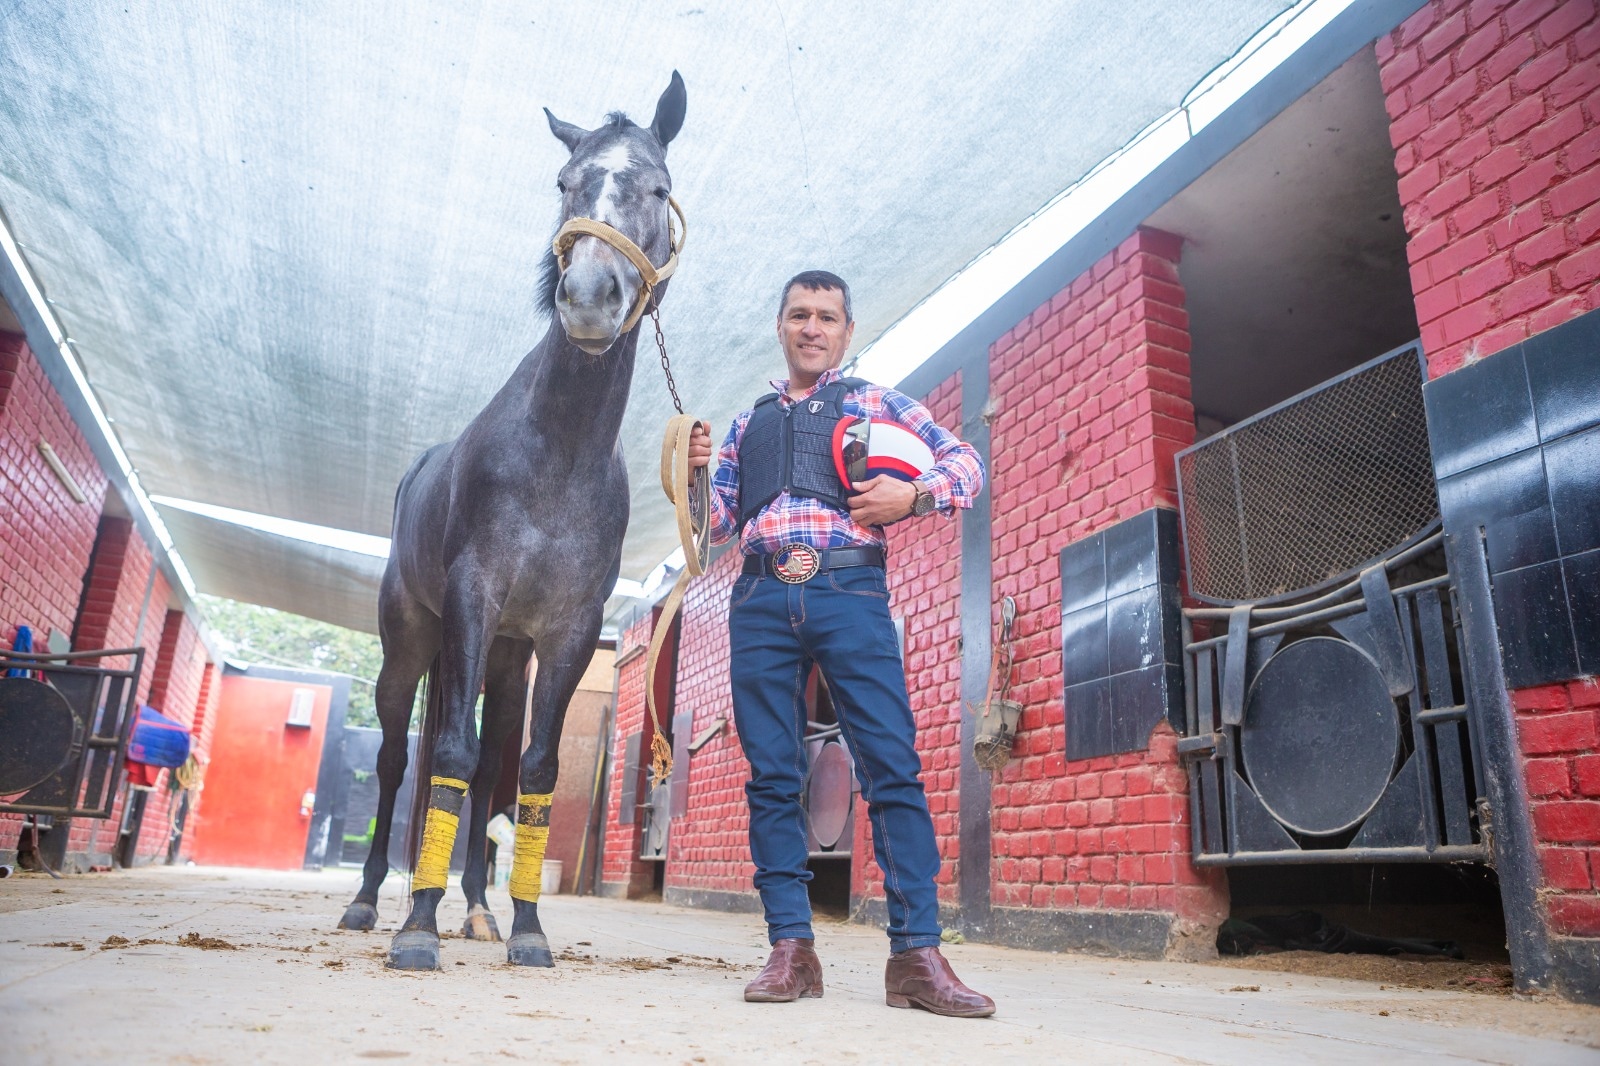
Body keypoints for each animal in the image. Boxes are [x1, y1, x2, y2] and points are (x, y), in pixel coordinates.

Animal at [336, 73, 687, 971]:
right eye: (565, 184)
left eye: (657, 189)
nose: (590, 299)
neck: (557, 455)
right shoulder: (472, 599)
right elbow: (449, 756)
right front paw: (416, 929)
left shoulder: (565, 632)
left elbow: (531, 769)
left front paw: (526, 926)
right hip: (411, 644)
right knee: (399, 760)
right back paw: (369, 902)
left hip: (504, 658)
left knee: (492, 760)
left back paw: (477, 910)